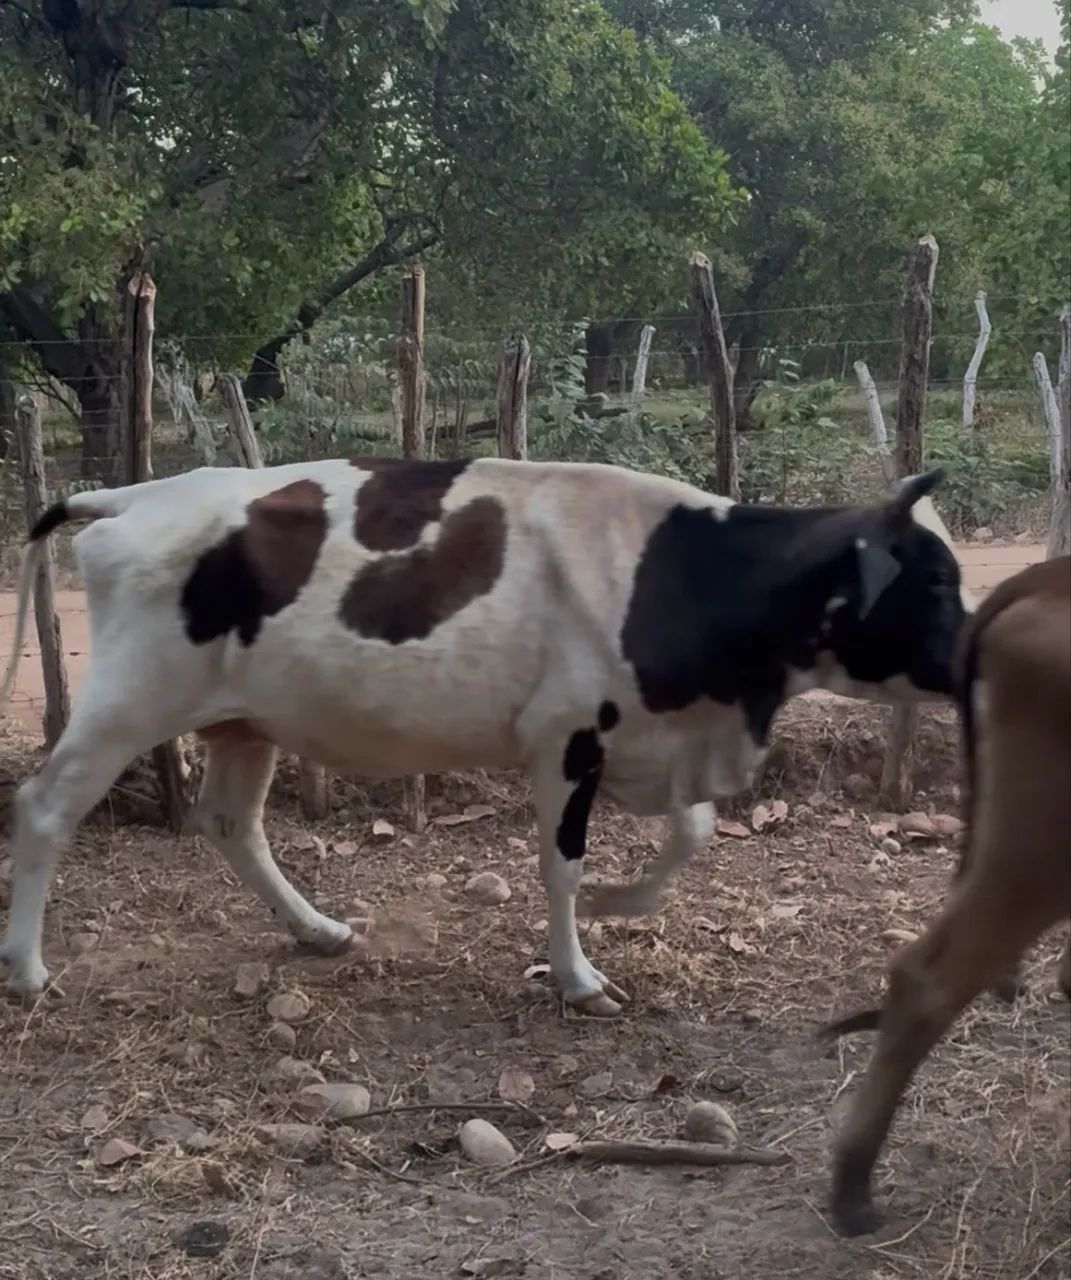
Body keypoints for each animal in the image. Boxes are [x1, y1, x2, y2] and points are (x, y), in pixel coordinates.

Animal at [0, 457, 967, 1011]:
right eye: (929, 581)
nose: (974, 659)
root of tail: (138, 493)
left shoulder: (655, 740)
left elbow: (690, 835)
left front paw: (620, 903)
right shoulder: (565, 738)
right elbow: (561, 864)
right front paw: (578, 976)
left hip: (245, 720)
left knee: (232, 823)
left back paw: (317, 931)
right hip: (130, 700)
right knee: (44, 807)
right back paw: (26, 968)